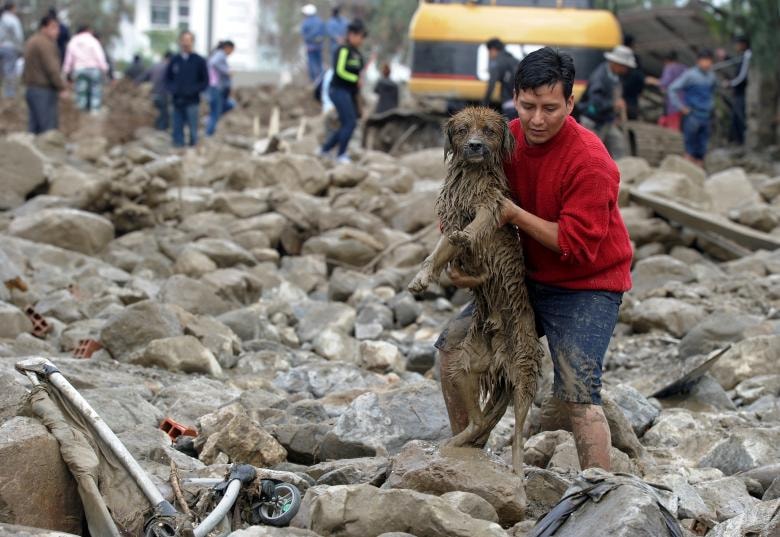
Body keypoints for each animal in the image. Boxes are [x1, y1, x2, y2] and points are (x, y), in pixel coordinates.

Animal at [408, 105, 544, 474]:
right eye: (463, 129)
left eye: (489, 131)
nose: (475, 146)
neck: (471, 174)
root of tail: (499, 359)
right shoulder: (452, 217)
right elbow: (436, 253)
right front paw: (421, 279)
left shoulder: (490, 205)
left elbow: (475, 228)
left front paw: (468, 239)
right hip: (464, 367)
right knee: (479, 419)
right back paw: (456, 443)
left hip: (523, 372)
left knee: (517, 432)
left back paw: (517, 469)